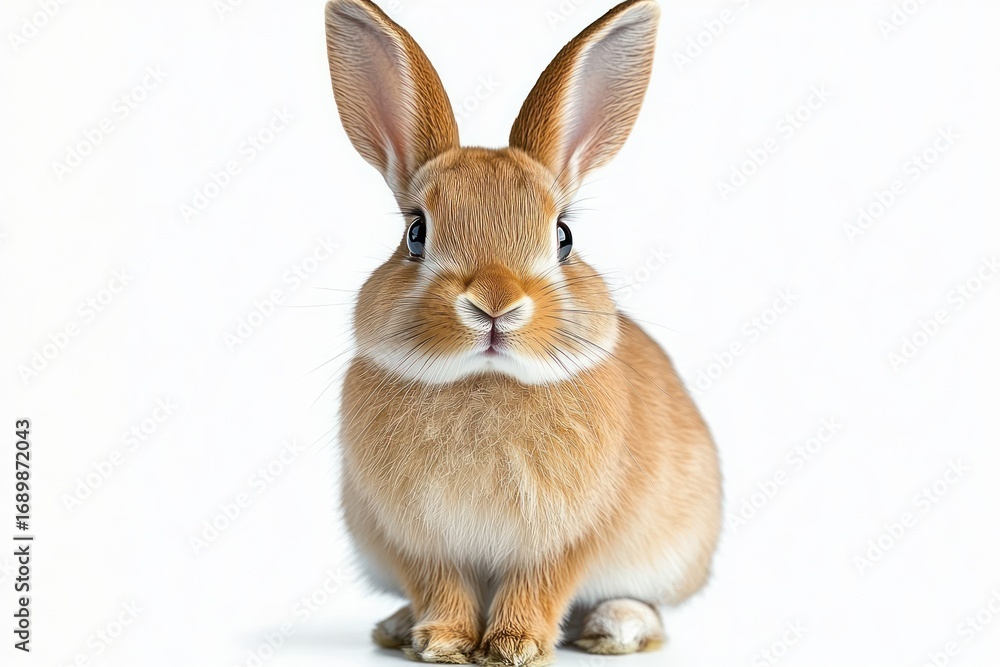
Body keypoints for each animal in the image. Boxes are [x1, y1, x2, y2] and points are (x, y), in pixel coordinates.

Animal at [323, 0, 722, 664]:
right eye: (415, 233)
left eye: (563, 235)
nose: (494, 304)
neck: (484, 381)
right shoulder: (417, 541)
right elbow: (440, 586)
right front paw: (444, 642)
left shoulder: (567, 538)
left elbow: (541, 584)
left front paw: (514, 646)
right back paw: (399, 626)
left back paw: (615, 626)